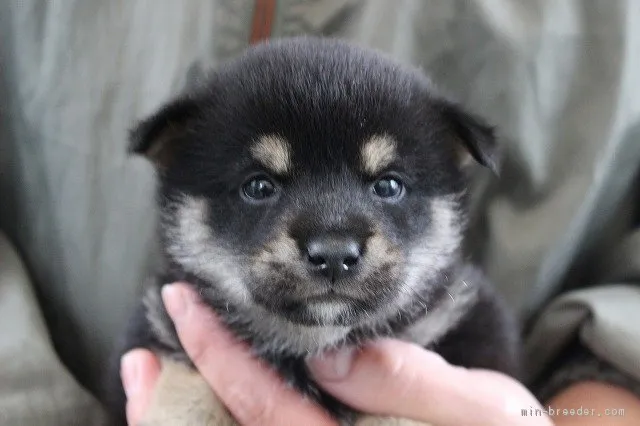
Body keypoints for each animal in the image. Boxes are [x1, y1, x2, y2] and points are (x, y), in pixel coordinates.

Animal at [107, 35, 524, 426]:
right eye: (258, 186)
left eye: (389, 185)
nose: (334, 254)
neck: (312, 346)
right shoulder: (161, 326)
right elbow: (188, 391)